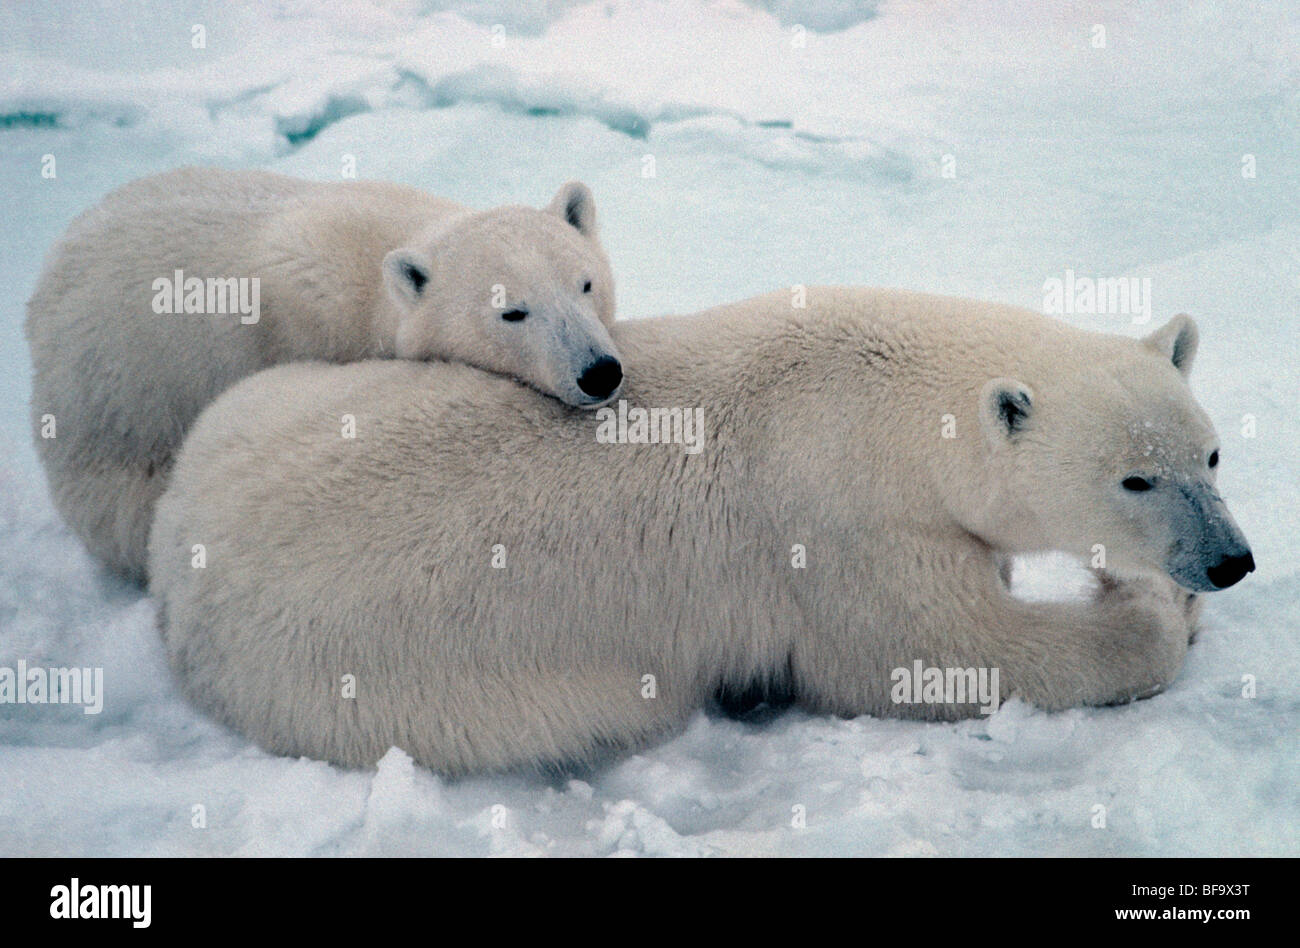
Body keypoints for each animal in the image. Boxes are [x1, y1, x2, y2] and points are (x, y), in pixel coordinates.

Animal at [146, 287, 1254, 776]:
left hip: (277, 400)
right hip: (369, 684)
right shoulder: (841, 528)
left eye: (1210, 455)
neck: (886, 400)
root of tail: (175, 567)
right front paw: (1151, 607)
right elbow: (935, 655)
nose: (1231, 561)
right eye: (1134, 478)